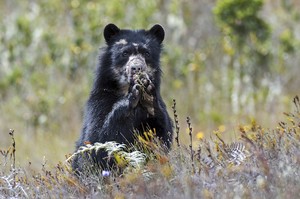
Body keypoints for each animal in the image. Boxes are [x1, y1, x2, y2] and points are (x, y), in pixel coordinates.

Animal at [71, 23, 172, 173]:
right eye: (125, 53)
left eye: (146, 53)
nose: (137, 68)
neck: (123, 89)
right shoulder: (100, 100)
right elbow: (98, 139)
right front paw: (131, 98)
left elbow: (163, 135)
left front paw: (149, 97)